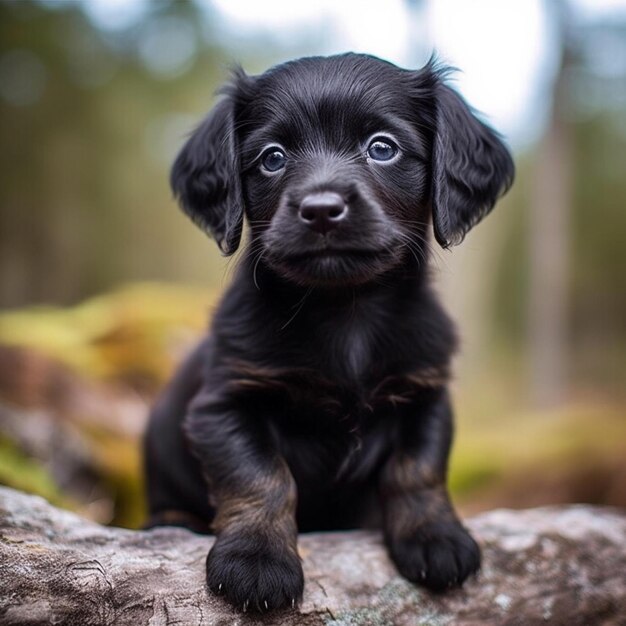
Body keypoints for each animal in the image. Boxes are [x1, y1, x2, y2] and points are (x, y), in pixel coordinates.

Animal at [145, 52, 512, 608]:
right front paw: (256, 560)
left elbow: (417, 469)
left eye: (382, 147)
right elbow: (261, 476)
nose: (320, 210)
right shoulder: (223, 407)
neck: (344, 309)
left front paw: (437, 539)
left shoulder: (425, 395)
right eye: (272, 157)